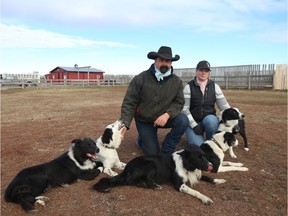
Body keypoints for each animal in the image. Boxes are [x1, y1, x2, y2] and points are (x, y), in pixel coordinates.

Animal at [93, 144, 226, 205]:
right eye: (198, 158)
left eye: (204, 155)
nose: (211, 166)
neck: (187, 164)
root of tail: (127, 168)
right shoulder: (179, 185)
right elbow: (196, 191)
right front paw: (206, 198)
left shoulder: (196, 174)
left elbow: (208, 177)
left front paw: (218, 180)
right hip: (149, 164)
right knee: (132, 181)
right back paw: (154, 186)